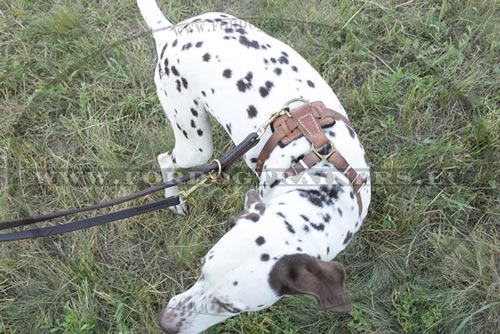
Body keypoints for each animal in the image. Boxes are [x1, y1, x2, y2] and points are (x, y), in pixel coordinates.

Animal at [138, 1, 372, 332]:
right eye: (202, 269)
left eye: (230, 307)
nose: (165, 323)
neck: (321, 180)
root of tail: (170, 31)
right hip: (195, 143)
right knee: (164, 159)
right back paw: (175, 200)